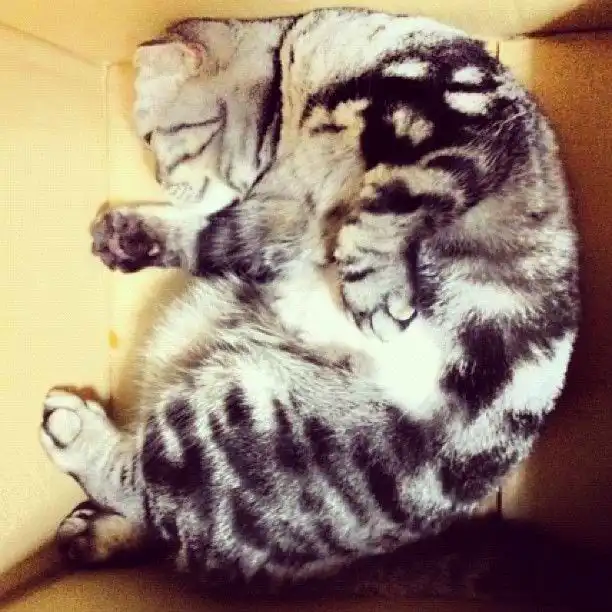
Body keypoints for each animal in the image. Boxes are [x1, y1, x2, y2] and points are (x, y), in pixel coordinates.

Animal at [40, 8, 582, 604]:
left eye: (154, 137)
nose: (158, 179)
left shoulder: (463, 113)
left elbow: (395, 194)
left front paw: (374, 286)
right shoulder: (276, 224)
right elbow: (211, 236)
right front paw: (130, 235)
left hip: (240, 420)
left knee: (153, 494)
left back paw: (73, 444)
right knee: (164, 512)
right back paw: (88, 528)